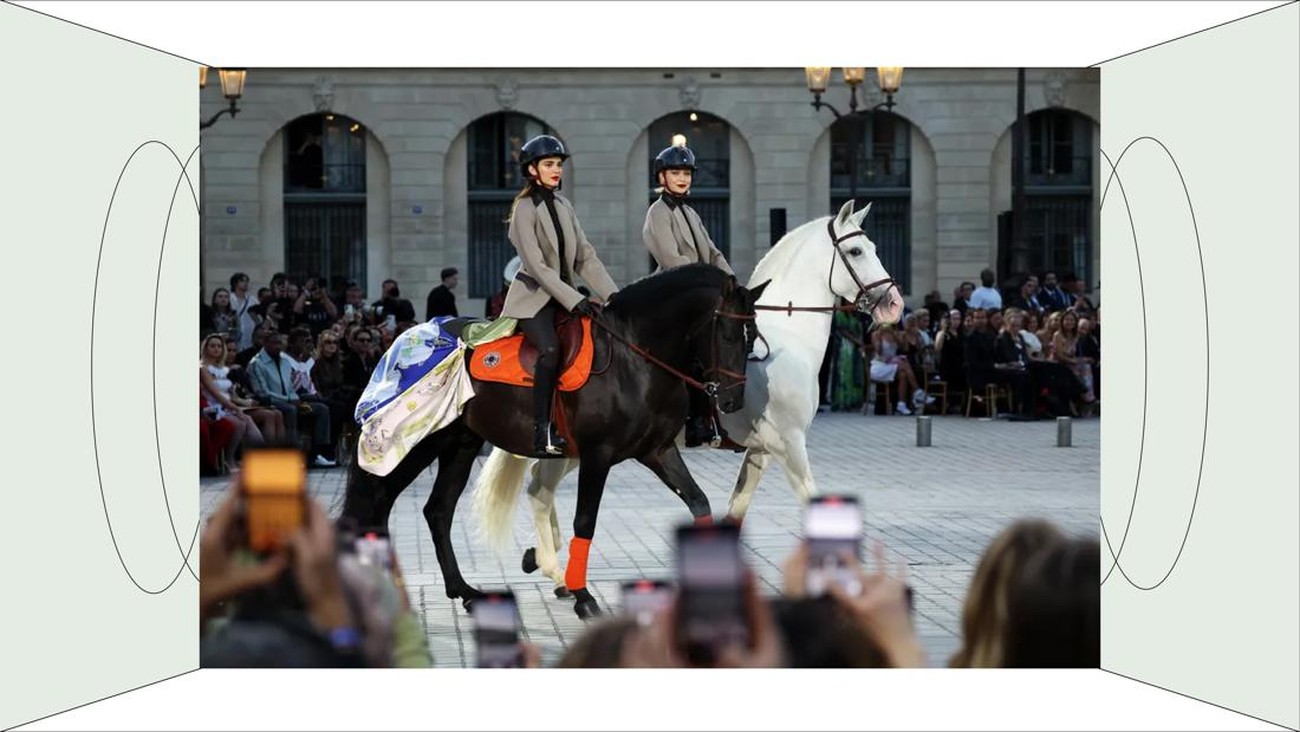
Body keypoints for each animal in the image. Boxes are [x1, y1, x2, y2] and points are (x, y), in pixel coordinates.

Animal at [340, 263, 764, 618]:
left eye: (753, 337)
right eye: (727, 334)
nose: (732, 401)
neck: (634, 359)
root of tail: (406, 339)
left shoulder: (656, 450)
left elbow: (698, 502)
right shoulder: (597, 455)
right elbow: (585, 521)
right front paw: (582, 596)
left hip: (460, 444)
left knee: (437, 511)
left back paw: (464, 591)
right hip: (415, 444)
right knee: (379, 504)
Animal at [475, 201, 904, 595]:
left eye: (873, 246)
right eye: (856, 252)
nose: (894, 304)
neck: (788, 341)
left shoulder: (762, 450)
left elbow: (736, 508)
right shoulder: (789, 444)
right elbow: (811, 499)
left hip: (576, 448)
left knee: (539, 487)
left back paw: (546, 564)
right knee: (539, 488)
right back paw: (554, 568)